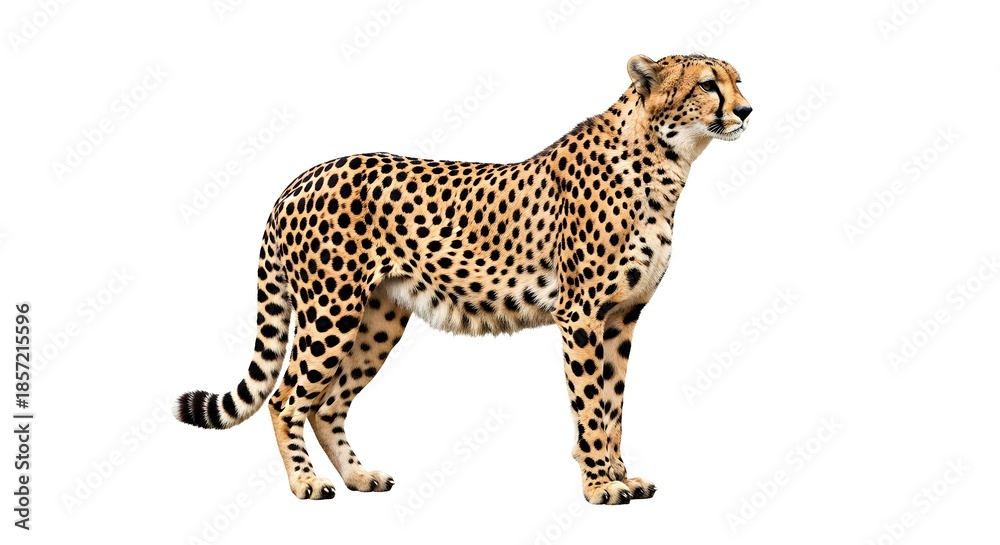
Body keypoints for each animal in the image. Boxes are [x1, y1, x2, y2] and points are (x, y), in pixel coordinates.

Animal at [175, 53, 751, 505]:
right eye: (707, 84)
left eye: (738, 79)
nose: (746, 110)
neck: (666, 161)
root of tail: (301, 177)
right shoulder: (582, 314)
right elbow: (590, 403)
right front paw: (599, 486)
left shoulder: (622, 316)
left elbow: (613, 405)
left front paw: (621, 477)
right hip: (330, 312)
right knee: (286, 398)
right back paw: (305, 484)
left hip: (377, 321)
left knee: (329, 402)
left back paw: (360, 476)